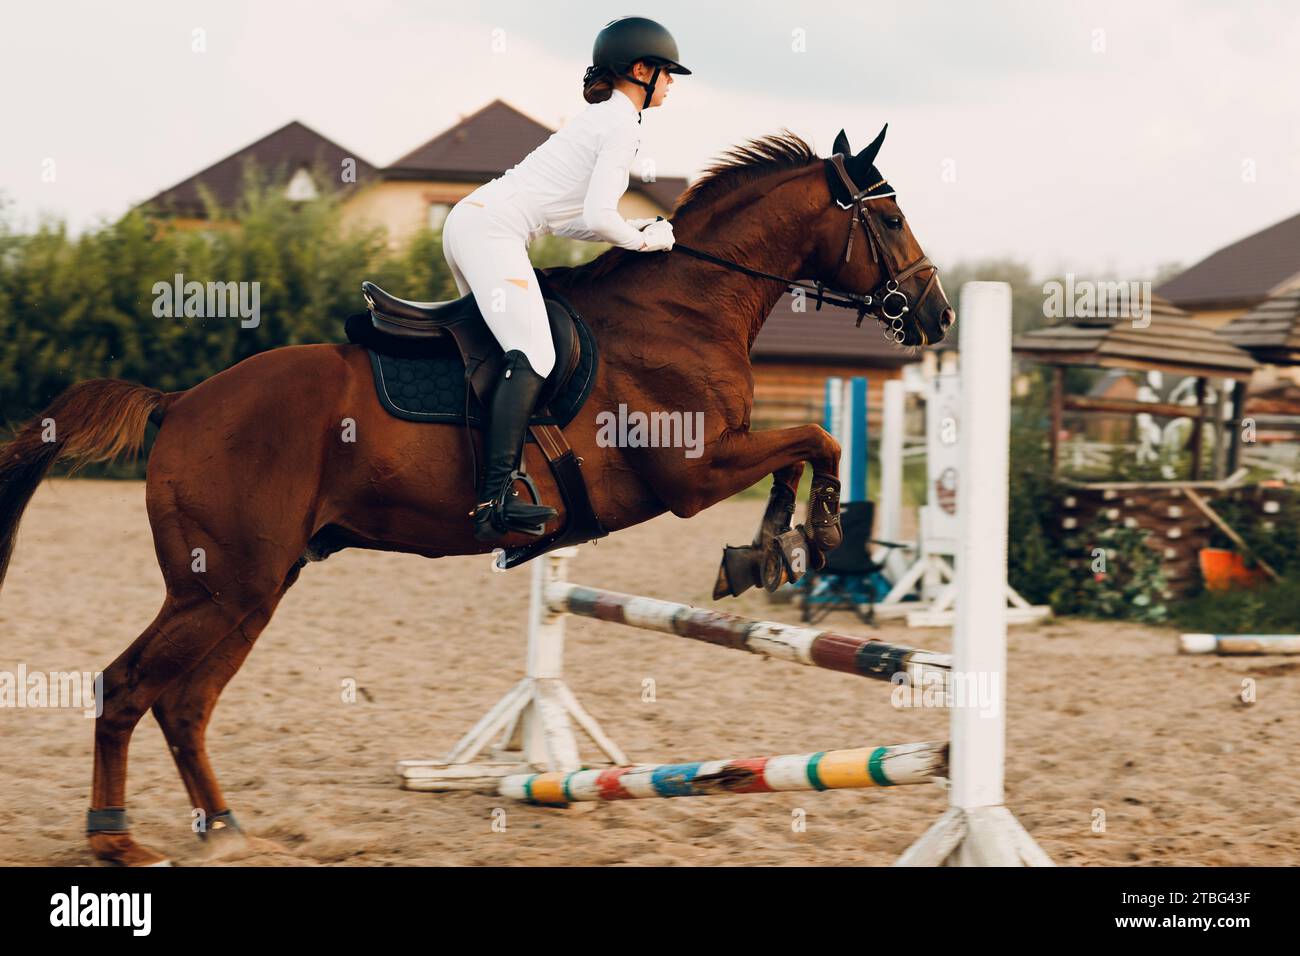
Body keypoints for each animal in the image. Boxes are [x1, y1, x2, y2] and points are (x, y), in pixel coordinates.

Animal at [0, 123, 956, 863]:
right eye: (892, 216)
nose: (938, 315)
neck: (685, 308)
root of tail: (180, 402)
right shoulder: (693, 472)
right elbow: (816, 440)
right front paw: (811, 536)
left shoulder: (718, 460)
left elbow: (799, 452)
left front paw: (769, 549)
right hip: (223, 587)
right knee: (127, 686)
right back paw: (115, 837)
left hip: (250, 590)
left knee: (185, 702)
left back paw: (227, 828)